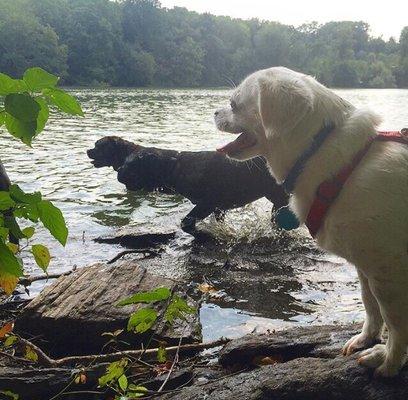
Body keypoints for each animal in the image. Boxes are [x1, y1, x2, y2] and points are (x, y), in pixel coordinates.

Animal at [88, 137, 288, 236]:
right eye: (125, 163)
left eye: (131, 164)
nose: (120, 171)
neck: (175, 167)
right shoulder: (218, 208)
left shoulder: (207, 204)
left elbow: (185, 222)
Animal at [214, 67, 408, 376]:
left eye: (234, 104)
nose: (214, 112)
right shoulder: (366, 265)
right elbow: (370, 305)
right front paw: (366, 339)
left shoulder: (389, 269)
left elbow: (397, 322)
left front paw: (389, 362)